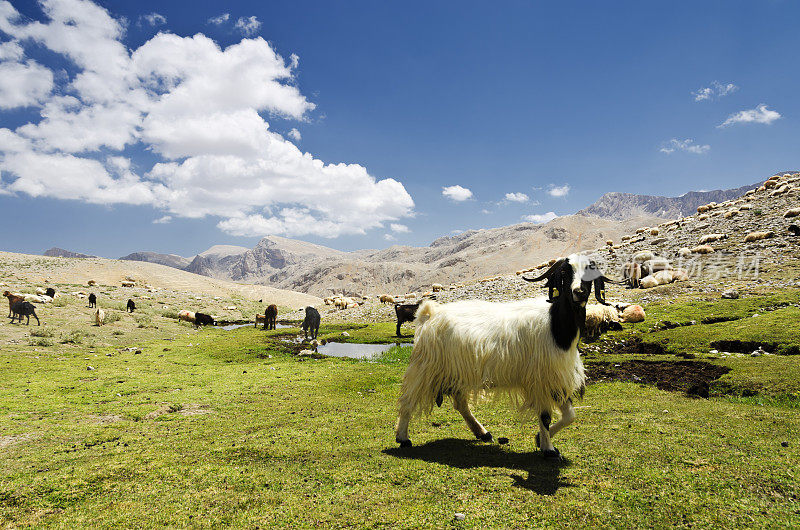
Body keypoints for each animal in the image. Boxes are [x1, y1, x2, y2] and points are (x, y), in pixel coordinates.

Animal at [396, 254, 620, 456]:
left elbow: (569, 415)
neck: (556, 326)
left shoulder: (556, 377)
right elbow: (545, 416)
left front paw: (540, 441)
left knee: (460, 403)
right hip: (426, 368)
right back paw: (403, 438)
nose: (579, 292)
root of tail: (428, 314)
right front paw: (548, 449)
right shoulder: (540, 378)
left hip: (458, 371)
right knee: (408, 400)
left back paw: (483, 433)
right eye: (564, 272)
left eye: (591, 271)